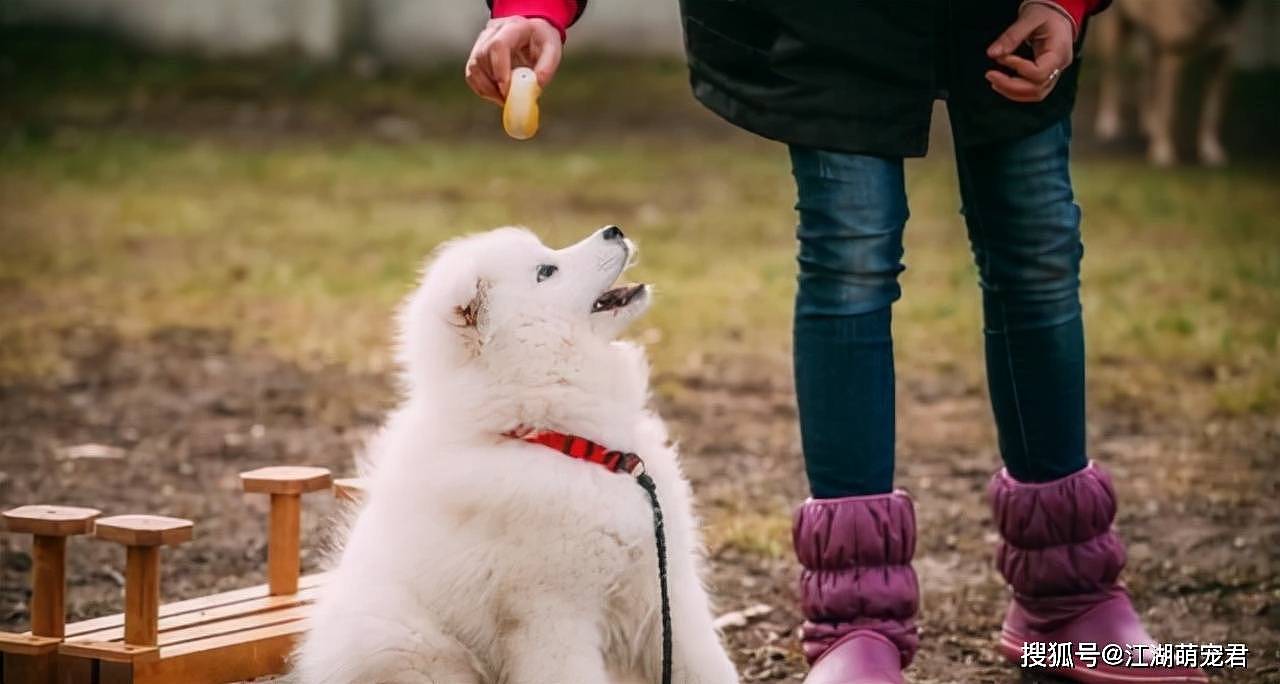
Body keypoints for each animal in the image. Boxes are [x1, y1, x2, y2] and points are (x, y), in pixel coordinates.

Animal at [295, 226, 742, 684]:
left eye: (547, 254)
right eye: (546, 271)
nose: (614, 230)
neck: (569, 443)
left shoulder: (666, 588)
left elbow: (706, 665)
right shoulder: (553, 614)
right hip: (408, 644)